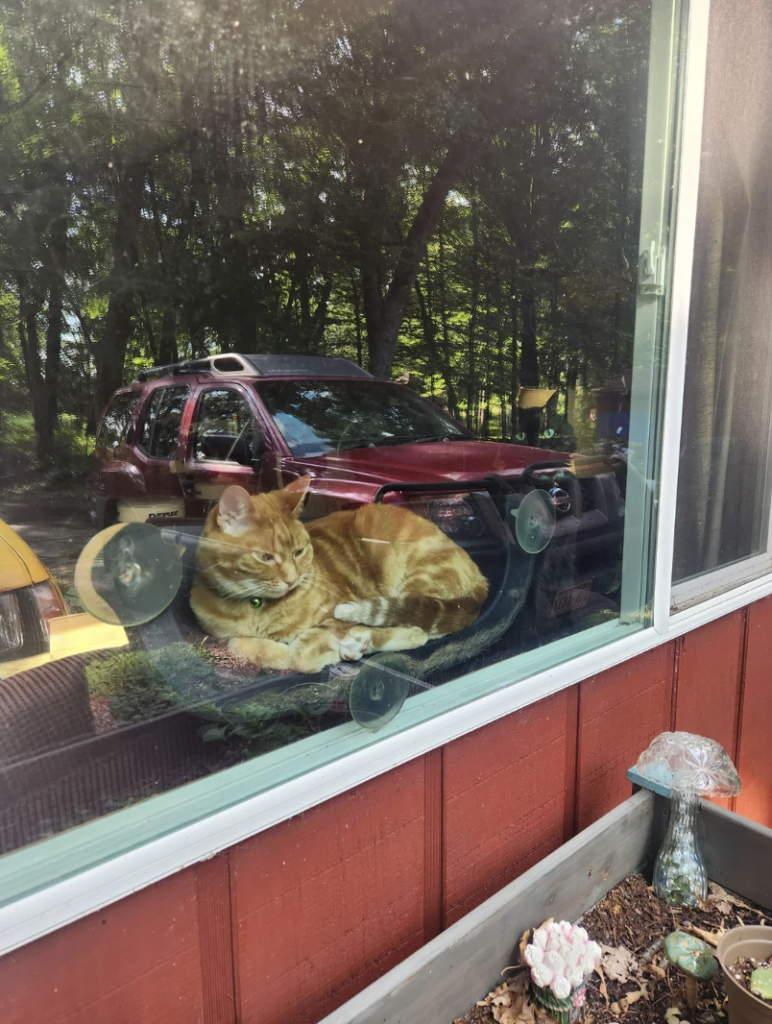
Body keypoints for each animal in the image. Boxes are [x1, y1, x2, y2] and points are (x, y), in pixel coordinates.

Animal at [188, 477, 483, 675]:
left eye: (298, 552)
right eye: (266, 557)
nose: (291, 579)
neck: (257, 607)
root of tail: (479, 573)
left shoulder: (334, 611)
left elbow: (301, 654)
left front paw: (300, 651)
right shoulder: (218, 638)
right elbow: (237, 644)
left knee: (423, 626)